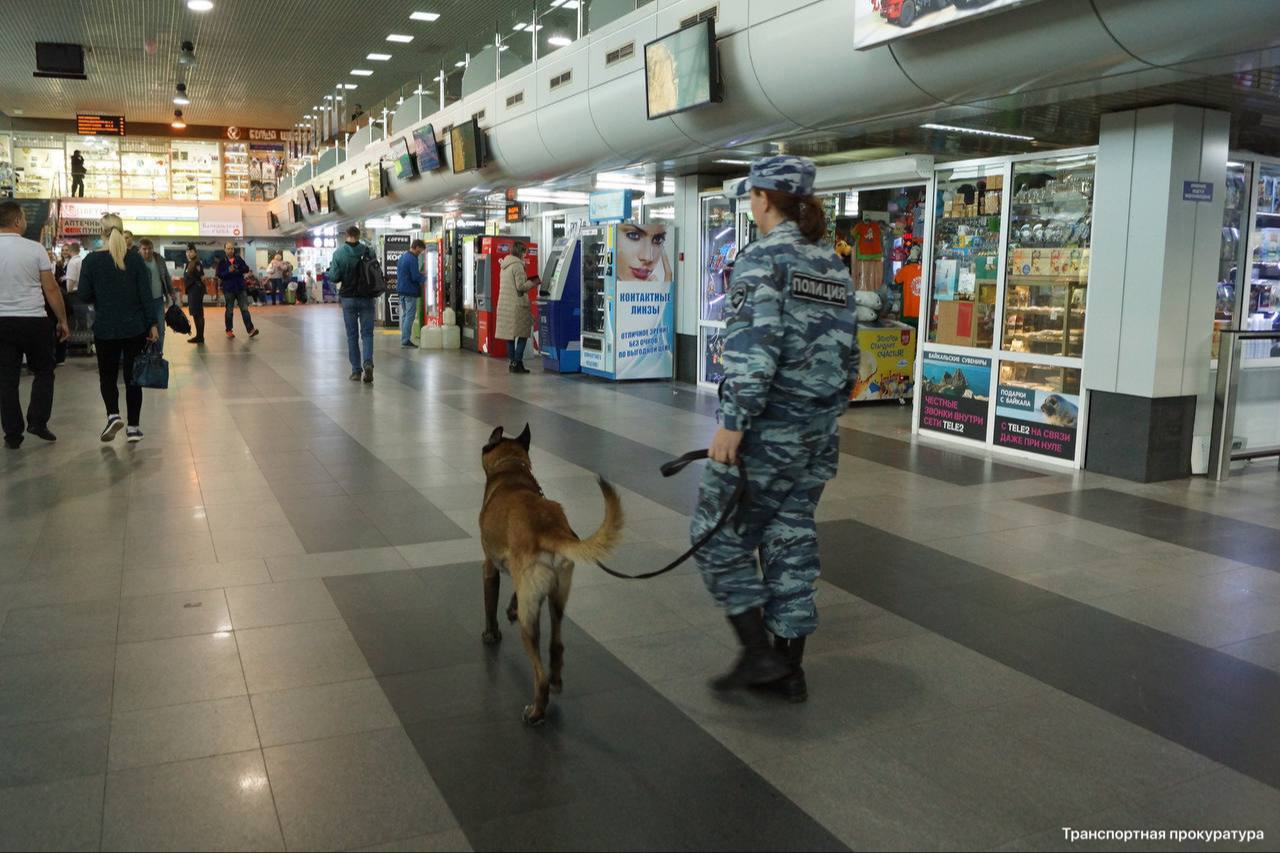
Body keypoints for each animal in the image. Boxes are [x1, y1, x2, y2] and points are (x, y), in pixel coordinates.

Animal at [478, 422, 622, 722]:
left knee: (539, 675)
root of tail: (551, 532)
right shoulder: (522, 579)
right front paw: (510, 607)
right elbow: (513, 594)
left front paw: (491, 634)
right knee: (556, 644)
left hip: (529, 625)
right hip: (557, 598)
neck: (511, 472)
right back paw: (556, 678)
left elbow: (489, 605)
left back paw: (536, 711)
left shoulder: (489, 566)